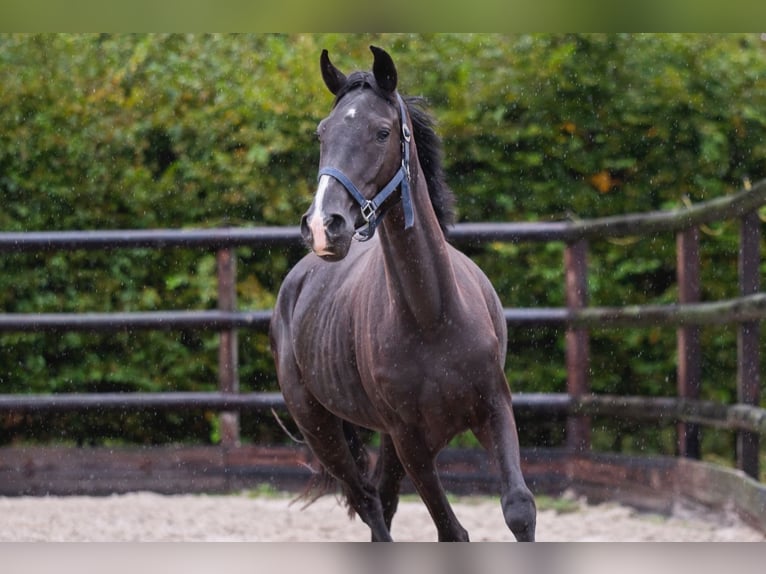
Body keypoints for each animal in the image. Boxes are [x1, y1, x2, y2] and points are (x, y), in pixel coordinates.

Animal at [272, 46, 536, 544]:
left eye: (381, 132)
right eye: (322, 133)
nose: (323, 226)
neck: (433, 317)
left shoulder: (494, 408)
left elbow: (518, 509)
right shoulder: (410, 440)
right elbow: (452, 531)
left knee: (383, 502)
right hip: (322, 429)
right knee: (369, 504)